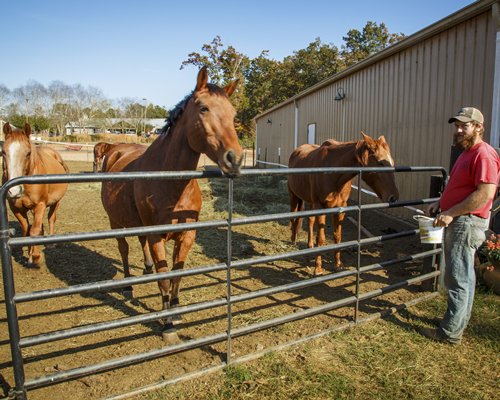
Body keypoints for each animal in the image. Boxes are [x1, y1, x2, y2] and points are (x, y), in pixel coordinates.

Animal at [1, 122, 69, 266]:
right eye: (3, 152)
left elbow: (34, 230)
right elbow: (27, 230)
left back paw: (51, 243)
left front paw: (36, 256)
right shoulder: (16, 208)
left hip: (56, 202)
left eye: (28, 153)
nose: (14, 191)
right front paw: (30, 254)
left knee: (51, 219)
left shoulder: (40, 205)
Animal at [100, 66, 242, 340]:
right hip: (115, 222)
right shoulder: (157, 237)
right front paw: (167, 324)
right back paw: (128, 286)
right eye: (204, 109)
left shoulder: (186, 236)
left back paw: (145, 269)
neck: (170, 183)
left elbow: (177, 274)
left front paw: (176, 311)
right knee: (124, 250)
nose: (236, 159)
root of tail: (115, 150)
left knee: (140, 244)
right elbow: (165, 277)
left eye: (233, 113)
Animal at [290, 133, 398, 276]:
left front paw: (338, 265)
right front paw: (318, 269)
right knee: (293, 216)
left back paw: (309, 245)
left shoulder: (340, 208)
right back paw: (293, 239)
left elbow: (337, 237)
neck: (333, 173)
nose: (394, 197)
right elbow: (321, 238)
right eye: (380, 163)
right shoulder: (321, 207)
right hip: (294, 195)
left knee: (310, 220)